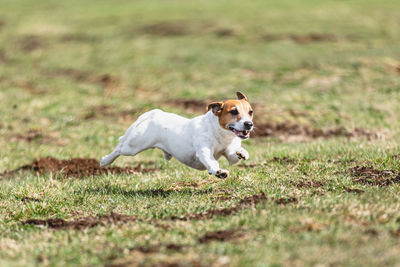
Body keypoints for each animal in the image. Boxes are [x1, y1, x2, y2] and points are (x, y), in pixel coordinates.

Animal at [101, 91, 255, 178]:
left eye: (250, 111)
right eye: (234, 111)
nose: (249, 124)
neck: (221, 134)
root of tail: (153, 113)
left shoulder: (230, 154)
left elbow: (235, 156)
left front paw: (242, 152)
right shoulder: (204, 151)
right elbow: (211, 161)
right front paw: (218, 171)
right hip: (134, 146)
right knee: (119, 147)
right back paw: (105, 160)